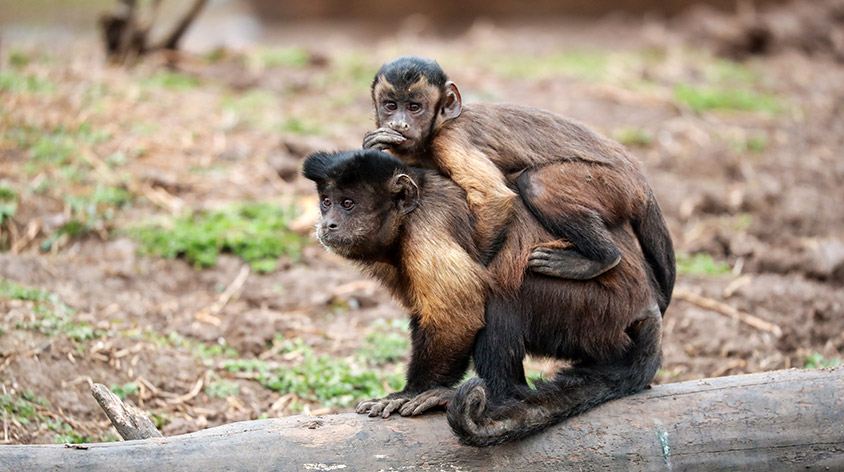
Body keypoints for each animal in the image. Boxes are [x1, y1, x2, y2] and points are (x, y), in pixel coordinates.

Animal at [366, 56, 676, 314]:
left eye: (414, 107)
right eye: (391, 106)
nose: (400, 124)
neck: (439, 125)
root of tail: (639, 178)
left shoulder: (450, 139)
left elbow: (494, 196)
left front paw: (478, 270)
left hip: (615, 184)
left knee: (536, 184)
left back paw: (602, 259)